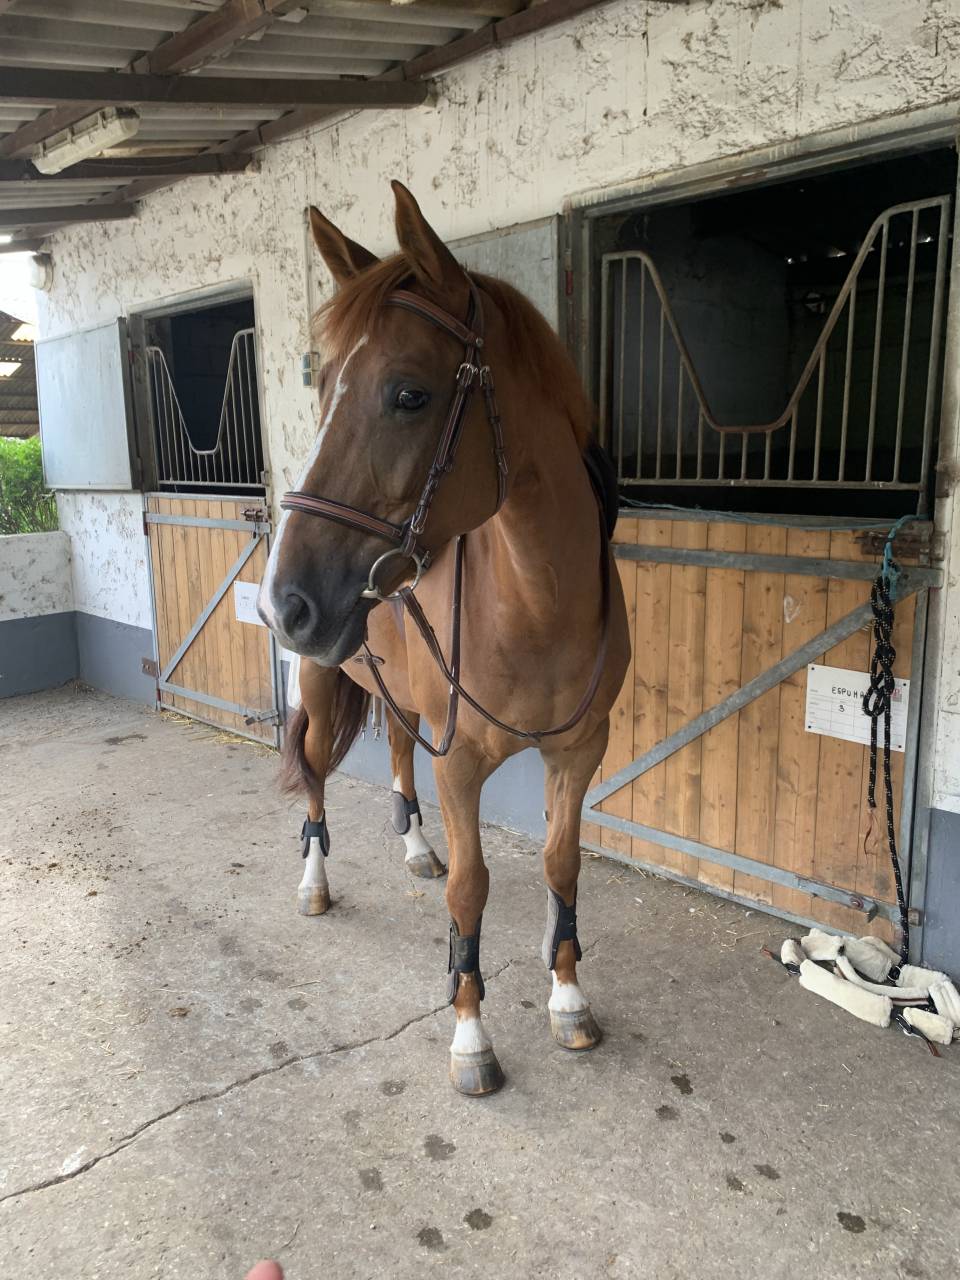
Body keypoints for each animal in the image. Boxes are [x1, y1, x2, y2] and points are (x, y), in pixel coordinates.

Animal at [258, 181, 629, 1095]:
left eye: (408, 395)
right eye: (324, 388)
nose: (285, 602)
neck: (536, 601)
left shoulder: (579, 751)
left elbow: (561, 865)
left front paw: (569, 997)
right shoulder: (461, 763)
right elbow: (472, 887)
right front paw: (470, 1034)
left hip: (397, 689)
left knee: (395, 749)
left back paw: (414, 846)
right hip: (319, 682)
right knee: (313, 773)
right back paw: (315, 881)